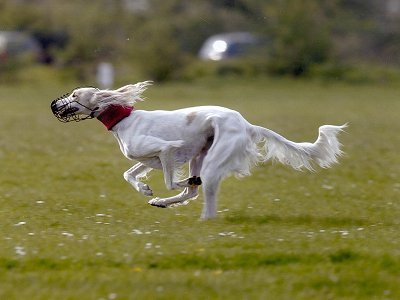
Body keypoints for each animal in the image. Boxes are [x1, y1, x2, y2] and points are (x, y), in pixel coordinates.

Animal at [50, 81, 346, 219]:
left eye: (75, 95)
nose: (54, 105)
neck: (124, 119)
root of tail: (246, 124)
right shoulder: (151, 159)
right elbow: (130, 174)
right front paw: (146, 190)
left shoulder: (166, 149)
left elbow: (171, 181)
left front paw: (172, 185)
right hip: (200, 154)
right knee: (192, 192)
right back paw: (162, 202)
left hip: (213, 160)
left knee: (204, 193)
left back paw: (205, 217)